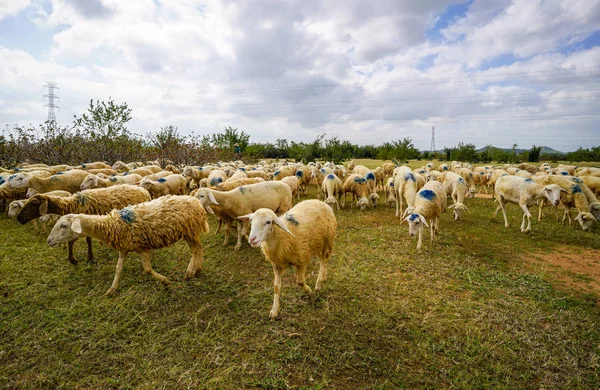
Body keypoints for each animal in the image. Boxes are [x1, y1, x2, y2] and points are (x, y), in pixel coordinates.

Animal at [18, 184, 152, 264]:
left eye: (34, 203)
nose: (19, 218)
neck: (71, 205)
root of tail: (144, 191)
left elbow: (85, 241)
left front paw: (87, 258)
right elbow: (71, 241)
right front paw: (73, 259)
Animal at [45, 195, 209, 296]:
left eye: (63, 225)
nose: (48, 241)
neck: (112, 224)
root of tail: (195, 201)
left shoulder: (141, 247)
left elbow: (147, 269)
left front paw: (166, 281)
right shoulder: (123, 249)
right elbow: (118, 269)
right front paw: (111, 290)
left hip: (190, 230)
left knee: (197, 249)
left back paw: (193, 272)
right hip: (188, 232)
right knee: (197, 249)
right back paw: (194, 271)